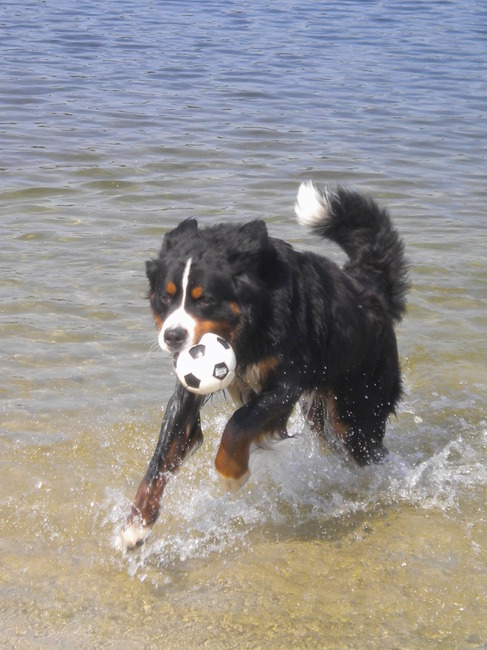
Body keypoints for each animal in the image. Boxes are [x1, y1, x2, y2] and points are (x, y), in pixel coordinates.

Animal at [121, 181, 408, 549]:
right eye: (165, 296)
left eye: (204, 299)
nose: (173, 336)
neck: (248, 324)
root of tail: (369, 289)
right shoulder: (188, 389)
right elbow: (160, 457)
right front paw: (136, 523)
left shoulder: (286, 383)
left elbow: (239, 422)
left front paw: (231, 472)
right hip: (323, 416)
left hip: (356, 413)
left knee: (370, 449)